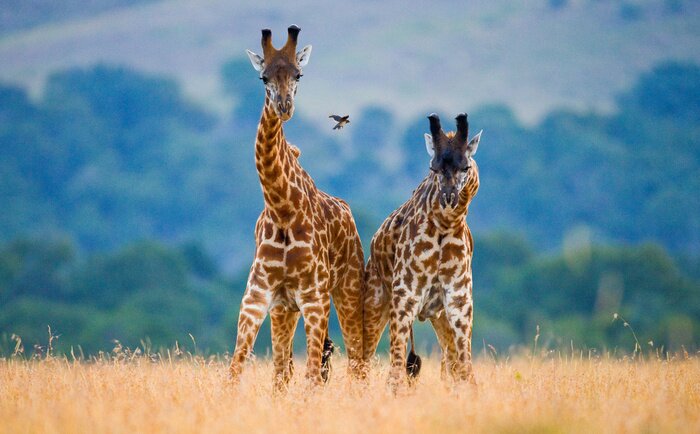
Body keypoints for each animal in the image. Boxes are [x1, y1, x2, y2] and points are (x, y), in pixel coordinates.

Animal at [229, 25, 365, 390]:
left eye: (298, 74)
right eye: (263, 77)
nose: (284, 106)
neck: (283, 209)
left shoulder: (314, 298)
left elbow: (313, 377)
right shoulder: (258, 296)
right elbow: (237, 370)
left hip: (347, 292)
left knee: (358, 361)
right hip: (285, 309)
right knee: (283, 369)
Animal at [362, 113, 482, 390]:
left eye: (466, 167)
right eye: (433, 168)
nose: (449, 198)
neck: (445, 225)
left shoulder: (460, 300)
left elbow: (466, 370)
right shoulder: (405, 296)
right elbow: (395, 374)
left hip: (439, 316)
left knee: (451, 364)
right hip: (375, 305)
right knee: (361, 362)